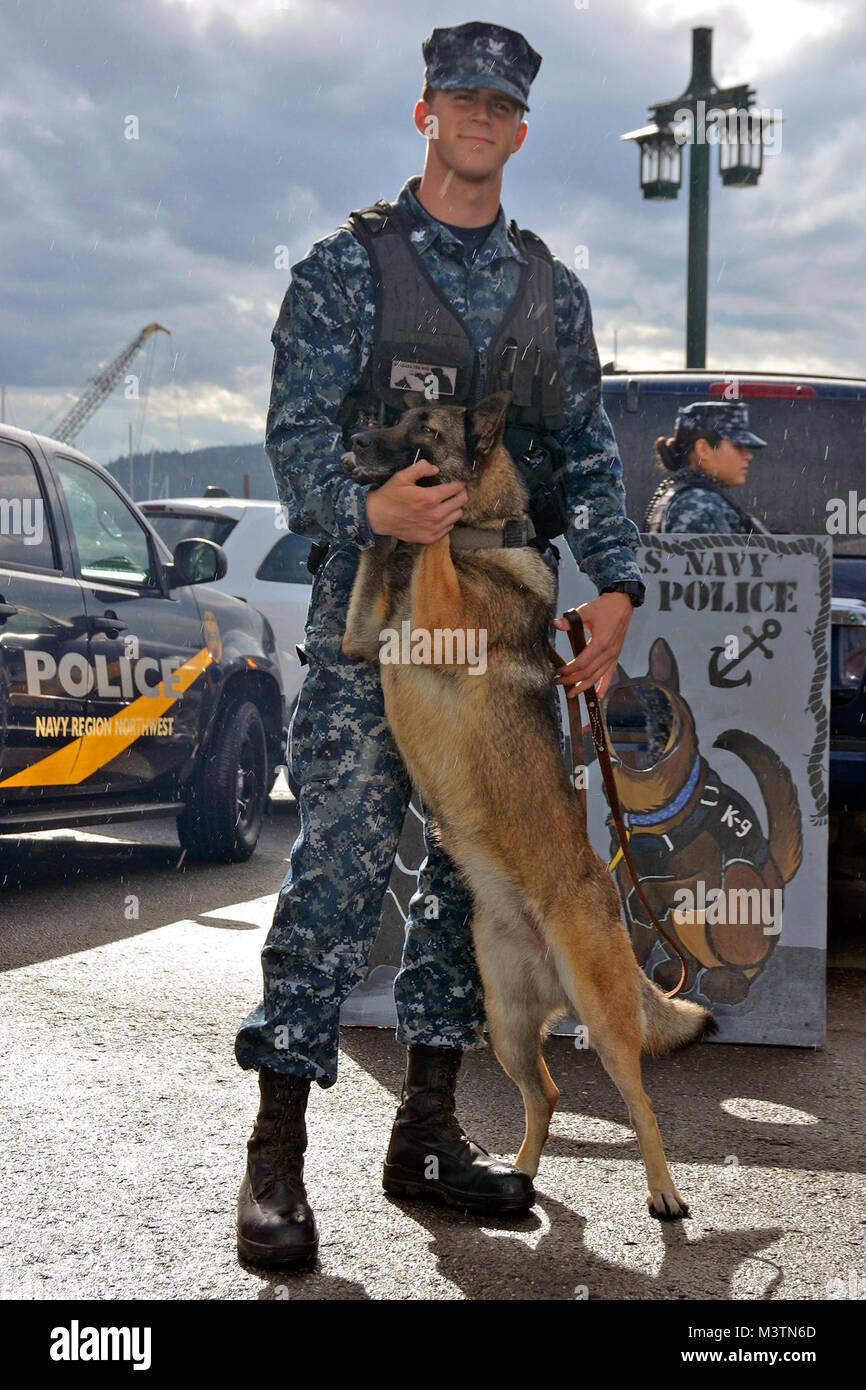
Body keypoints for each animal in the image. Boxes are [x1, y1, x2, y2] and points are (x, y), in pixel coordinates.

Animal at [341, 391, 717, 1217]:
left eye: (423, 427)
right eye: (395, 414)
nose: (352, 441)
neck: (480, 543)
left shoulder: (441, 612)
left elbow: (433, 535)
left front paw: (425, 511)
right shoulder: (360, 636)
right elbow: (386, 558)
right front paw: (388, 522)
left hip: (604, 1023)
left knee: (642, 1104)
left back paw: (665, 1194)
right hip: (506, 1023)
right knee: (544, 1094)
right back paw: (516, 1175)